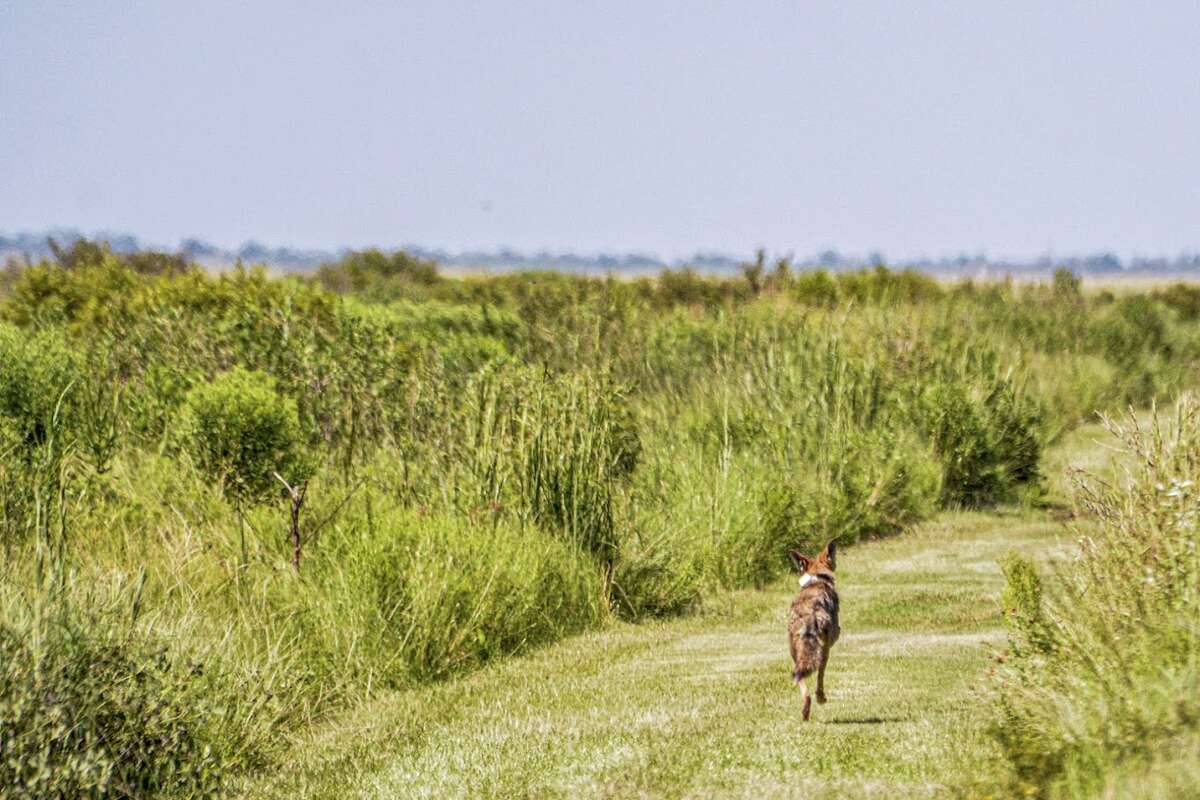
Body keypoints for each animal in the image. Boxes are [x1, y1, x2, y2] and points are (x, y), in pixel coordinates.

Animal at [787, 540, 840, 721]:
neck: (816, 579)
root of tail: (809, 617)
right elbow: (820, 675)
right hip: (823, 650)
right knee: (818, 676)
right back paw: (820, 698)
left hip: (795, 655)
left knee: (801, 681)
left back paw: (805, 712)